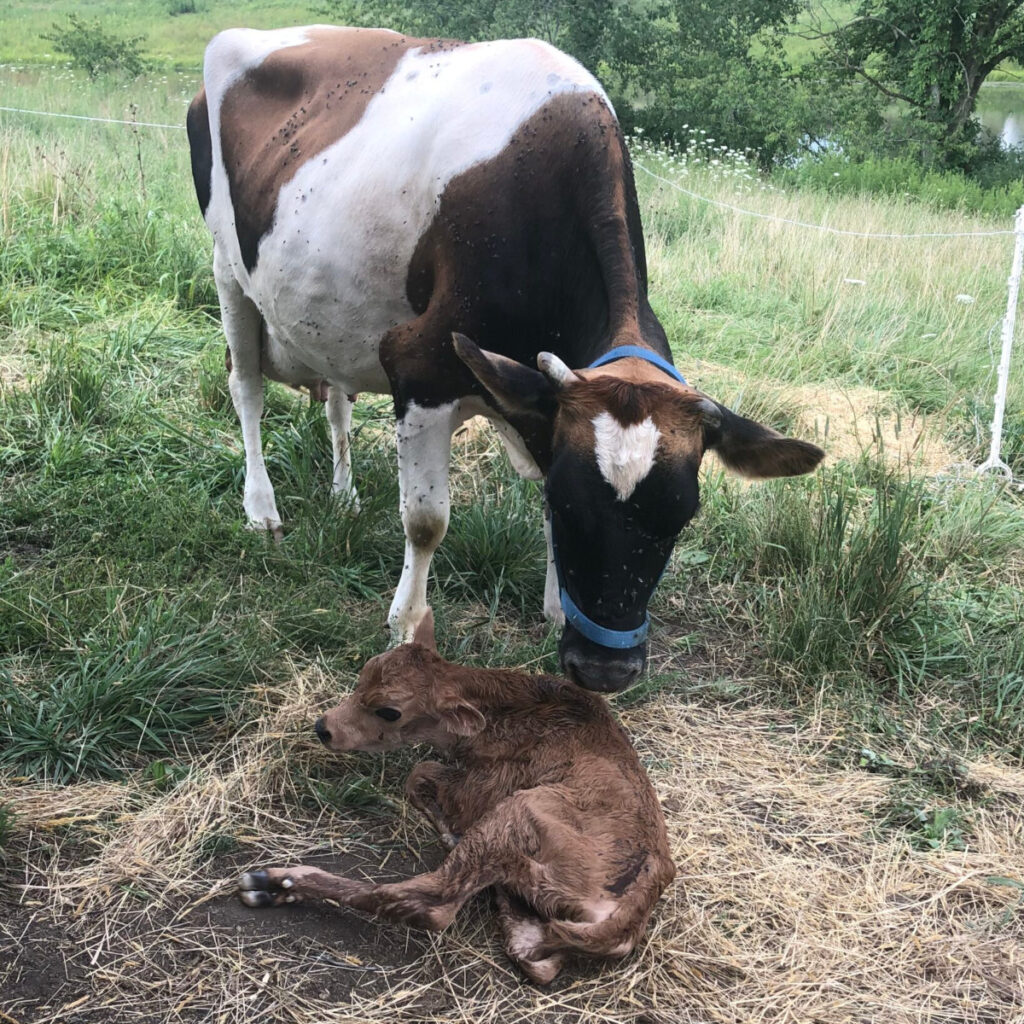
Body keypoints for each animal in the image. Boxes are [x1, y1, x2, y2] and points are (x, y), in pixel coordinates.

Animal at [187, 26, 824, 693]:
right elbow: (426, 521)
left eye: (681, 516)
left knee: (337, 403)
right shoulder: (420, 364)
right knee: (247, 390)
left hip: (330, 315)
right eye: (570, 503)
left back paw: (344, 495)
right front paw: (407, 627)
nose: (604, 670)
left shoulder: (542, 403)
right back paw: (262, 510)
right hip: (228, 272)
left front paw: (554, 608)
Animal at [238, 610, 676, 985]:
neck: (507, 709)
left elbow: (420, 772)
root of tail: (632, 910)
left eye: (389, 711)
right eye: (363, 674)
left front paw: (445, 823)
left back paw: (272, 882)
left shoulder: (484, 786)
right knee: (536, 957)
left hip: (515, 811)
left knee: (434, 904)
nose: (324, 728)